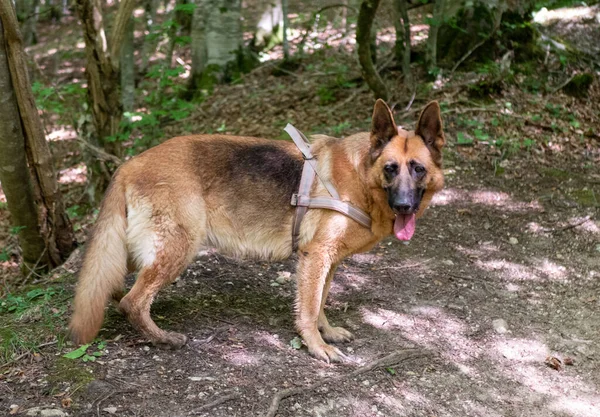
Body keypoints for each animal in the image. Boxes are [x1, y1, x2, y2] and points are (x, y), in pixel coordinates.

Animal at [70, 100, 446, 360]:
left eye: (418, 169)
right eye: (390, 169)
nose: (404, 206)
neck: (361, 175)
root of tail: (128, 164)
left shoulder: (329, 261)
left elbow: (321, 301)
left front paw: (327, 332)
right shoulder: (315, 257)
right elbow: (309, 307)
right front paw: (316, 346)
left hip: (138, 250)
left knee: (114, 284)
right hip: (179, 248)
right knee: (132, 301)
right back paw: (162, 338)